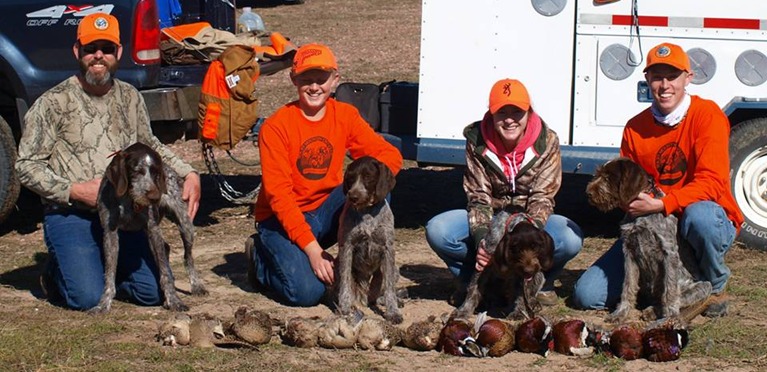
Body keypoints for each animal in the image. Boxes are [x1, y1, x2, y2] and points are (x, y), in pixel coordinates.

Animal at [89, 142, 208, 314]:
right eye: (137, 171)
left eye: (156, 172)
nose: (155, 197)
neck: (129, 200)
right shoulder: (110, 232)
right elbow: (110, 274)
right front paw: (103, 304)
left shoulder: (152, 229)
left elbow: (165, 273)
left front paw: (174, 301)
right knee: (167, 248)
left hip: (186, 225)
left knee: (188, 257)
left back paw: (196, 285)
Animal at [332, 155, 402, 324]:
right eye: (350, 178)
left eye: (368, 177)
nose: (353, 196)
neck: (367, 212)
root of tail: (364, 298)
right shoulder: (347, 247)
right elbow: (345, 284)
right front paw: (344, 308)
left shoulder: (388, 249)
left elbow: (390, 288)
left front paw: (393, 312)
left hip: (395, 269)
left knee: (380, 295)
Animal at [588, 157, 712, 322]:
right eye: (598, 174)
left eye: (608, 177)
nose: (588, 193)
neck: (641, 216)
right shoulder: (629, 253)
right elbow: (628, 286)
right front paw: (621, 313)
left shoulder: (669, 253)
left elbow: (670, 291)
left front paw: (670, 318)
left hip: (705, 286)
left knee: (676, 298)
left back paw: (654, 311)